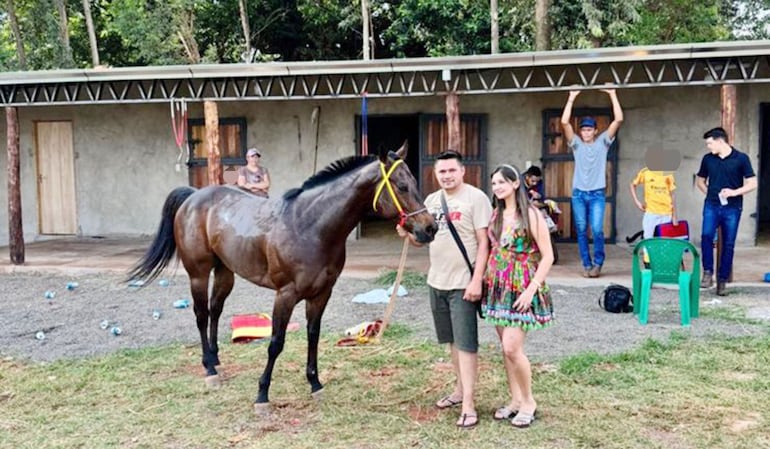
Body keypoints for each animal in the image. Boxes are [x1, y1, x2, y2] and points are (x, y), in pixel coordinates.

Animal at [129, 144, 436, 410]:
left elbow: (313, 335)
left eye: (413, 182)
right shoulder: (285, 295)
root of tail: (193, 196)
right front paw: (262, 395)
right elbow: (276, 343)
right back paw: (209, 369)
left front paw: (315, 384)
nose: (429, 228)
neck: (309, 226)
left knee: (215, 310)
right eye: (402, 186)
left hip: (225, 271)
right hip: (198, 274)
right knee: (202, 315)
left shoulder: (321, 293)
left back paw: (216, 361)